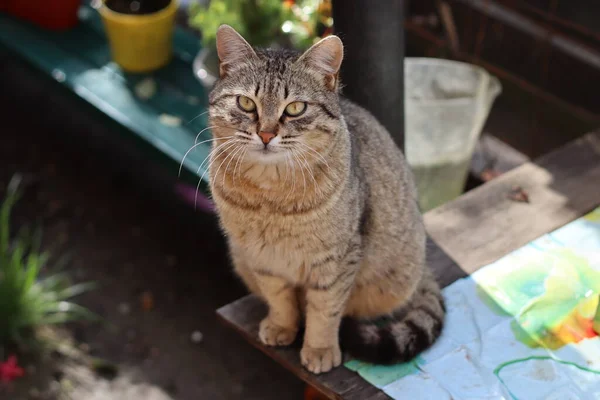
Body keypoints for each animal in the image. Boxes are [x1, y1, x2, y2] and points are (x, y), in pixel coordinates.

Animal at [207, 25, 446, 376]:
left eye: (295, 108)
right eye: (246, 103)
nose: (266, 134)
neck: (271, 197)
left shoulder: (336, 260)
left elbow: (325, 310)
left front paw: (319, 349)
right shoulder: (262, 258)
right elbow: (279, 298)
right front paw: (282, 326)